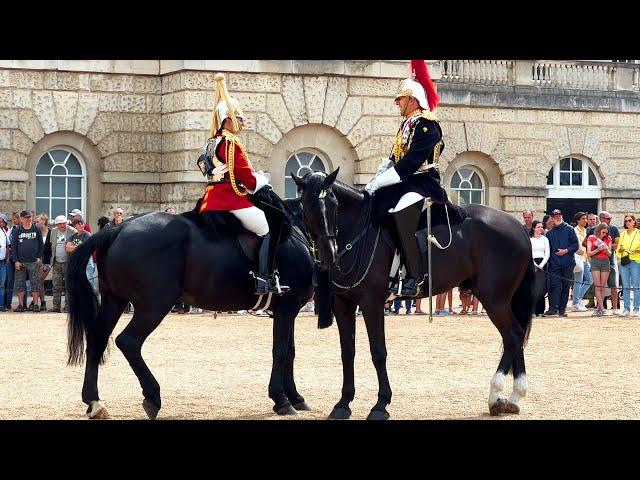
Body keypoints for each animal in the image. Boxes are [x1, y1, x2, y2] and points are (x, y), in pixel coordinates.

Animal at [67, 192, 316, 420]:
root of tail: (119, 227)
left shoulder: (288, 311)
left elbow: (290, 351)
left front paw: (295, 396)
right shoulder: (287, 309)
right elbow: (281, 351)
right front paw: (282, 400)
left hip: (114, 301)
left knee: (97, 340)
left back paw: (94, 401)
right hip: (154, 306)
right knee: (128, 342)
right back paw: (152, 396)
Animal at [292, 169, 532, 420]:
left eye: (334, 204)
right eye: (306, 206)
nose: (328, 255)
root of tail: (518, 227)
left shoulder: (371, 303)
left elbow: (378, 352)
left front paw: (380, 405)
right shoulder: (343, 304)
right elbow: (347, 352)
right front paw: (343, 404)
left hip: (494, 299)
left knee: (513, 335)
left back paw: (496, 395)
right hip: (501, 300)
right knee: (515, 336)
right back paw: (513, 398)